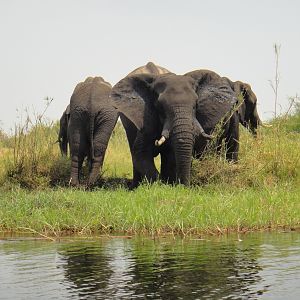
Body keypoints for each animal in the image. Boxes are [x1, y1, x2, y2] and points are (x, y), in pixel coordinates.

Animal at [110, 68, 239, 188]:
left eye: (196, 105)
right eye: (160, 106)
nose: (185, 187)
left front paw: (170, 184)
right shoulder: (147, 117)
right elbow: (141, 152)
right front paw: (162, 185)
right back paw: (135, 186)